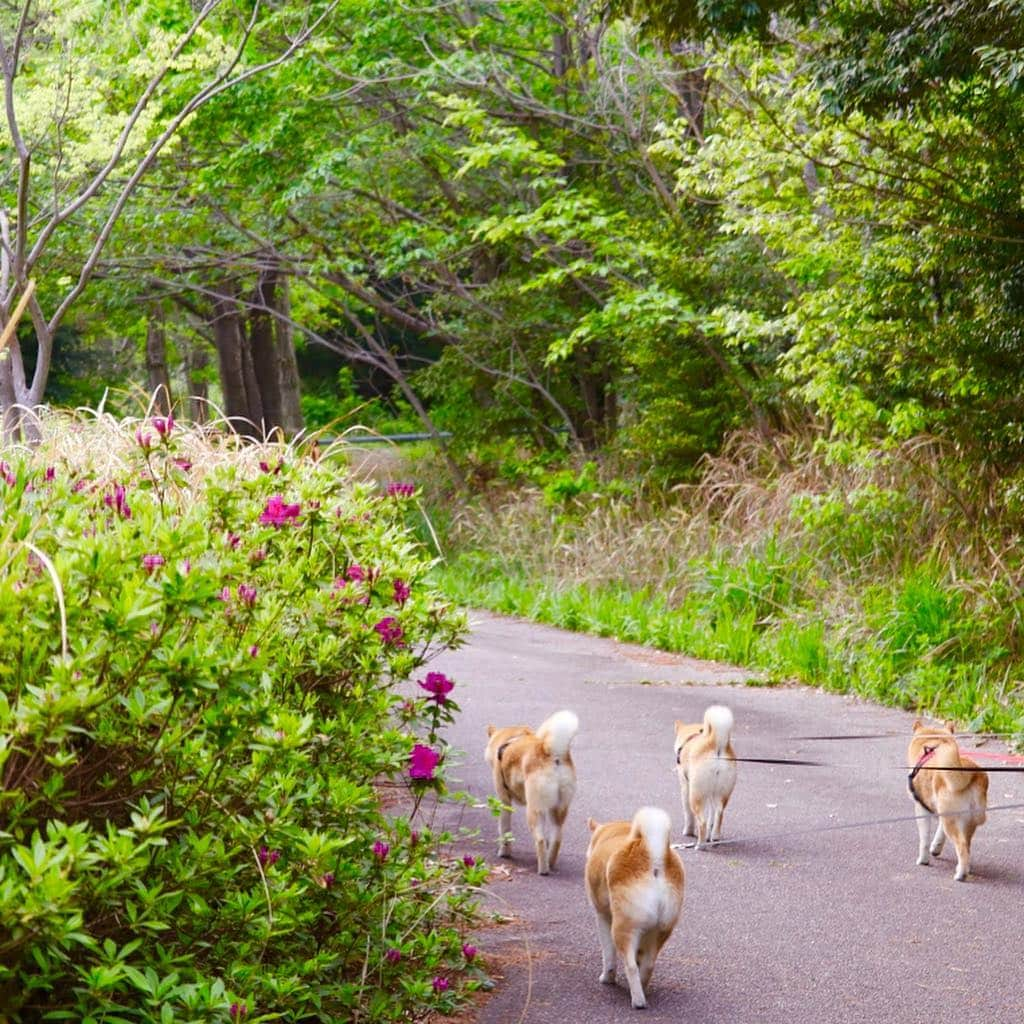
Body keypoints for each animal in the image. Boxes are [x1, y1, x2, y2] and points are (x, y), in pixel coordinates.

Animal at [485, 712, 581, 872]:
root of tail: (552, 753)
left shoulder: (504, 802)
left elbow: (504, 831)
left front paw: (504, 852)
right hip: (558, 809)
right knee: (556, 838)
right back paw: (550, 863)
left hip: (534, 810)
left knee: (540, 840)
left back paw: (543, 870)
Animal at [589, 806, 684, 1007]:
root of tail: (653, 855)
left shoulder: (602, 916)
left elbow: (608, 955)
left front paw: (607, 978)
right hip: (661, 930)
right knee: (648, 965)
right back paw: (642, 988)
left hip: (623, 928)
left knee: (630, 965)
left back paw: (638, 1001)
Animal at [671, 704, 737, 847]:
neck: (691, 737)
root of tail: (715, 743)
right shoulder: (711, 793)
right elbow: (711, 816)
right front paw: (709, 833)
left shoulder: (685, 787)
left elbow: (688, 815)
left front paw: (688, 832)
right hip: (722, 793)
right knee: (719, 814)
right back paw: (714, 838)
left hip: (696, 794)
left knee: (701, 821)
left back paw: (700, 845)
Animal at [909, 720, 987, 880]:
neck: (933, 746)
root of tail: (970, 774)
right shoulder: (942, 813)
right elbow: (940, 834)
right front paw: (936, 848)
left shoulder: (921, 809)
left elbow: (924, 840)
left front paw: (923, 860)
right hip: (967, 822)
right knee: (966, 846)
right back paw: (964, 868)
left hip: (953, 821)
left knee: (962, 847)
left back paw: (961, 874)